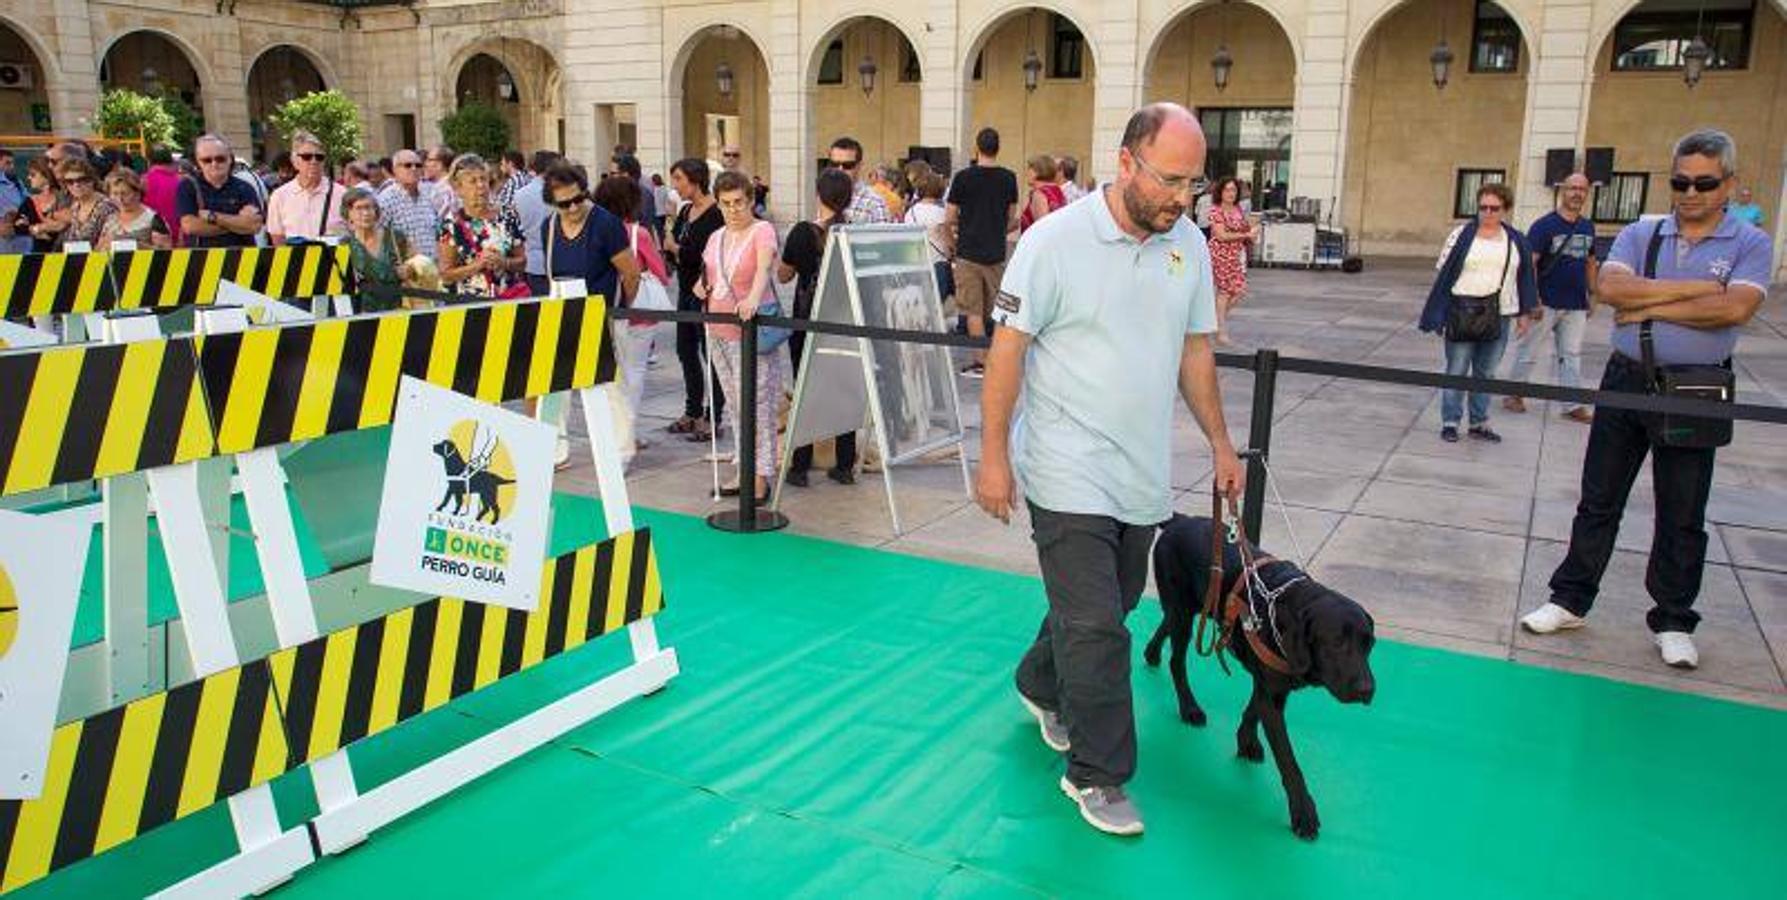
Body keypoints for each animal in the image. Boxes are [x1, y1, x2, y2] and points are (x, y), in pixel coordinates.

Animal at [1143, 496, 1379, 839]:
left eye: (1369, 644)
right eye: (1336, 643)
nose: (1367, 690)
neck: (1287, 609)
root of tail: (1181, 520)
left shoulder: (1272, 684)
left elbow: (1253, 708)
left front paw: (1246, 741)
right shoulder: (1272, 691)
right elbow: (1289, 761)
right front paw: (1303, 812)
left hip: (1189, 607)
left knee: (1165, 624)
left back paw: (1151, 653)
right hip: (1184, 613)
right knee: (1177, 661)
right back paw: (1189, 708)